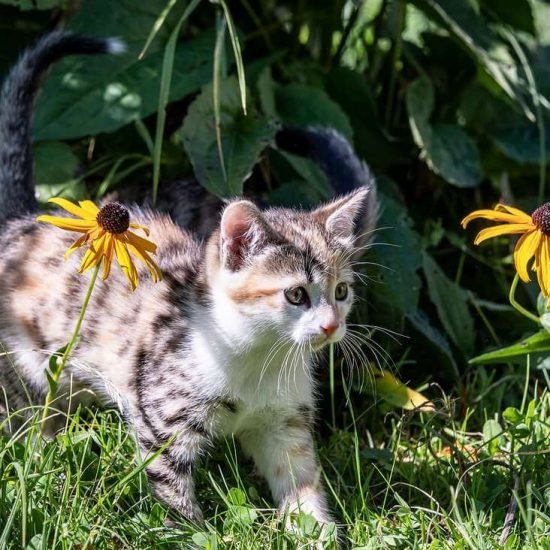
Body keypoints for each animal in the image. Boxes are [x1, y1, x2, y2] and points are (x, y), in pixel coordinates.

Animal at [0, 31, 380, 532]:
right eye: (296, 294)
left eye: (341, 291)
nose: (332, 326)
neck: (258, 361)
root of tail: (23, 222)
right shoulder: (159, 417)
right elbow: (171, 491)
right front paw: (191, 531)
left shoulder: (283, 420)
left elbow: (300, 482)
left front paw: (316, 532)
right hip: (24, 367)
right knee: (25, 419)